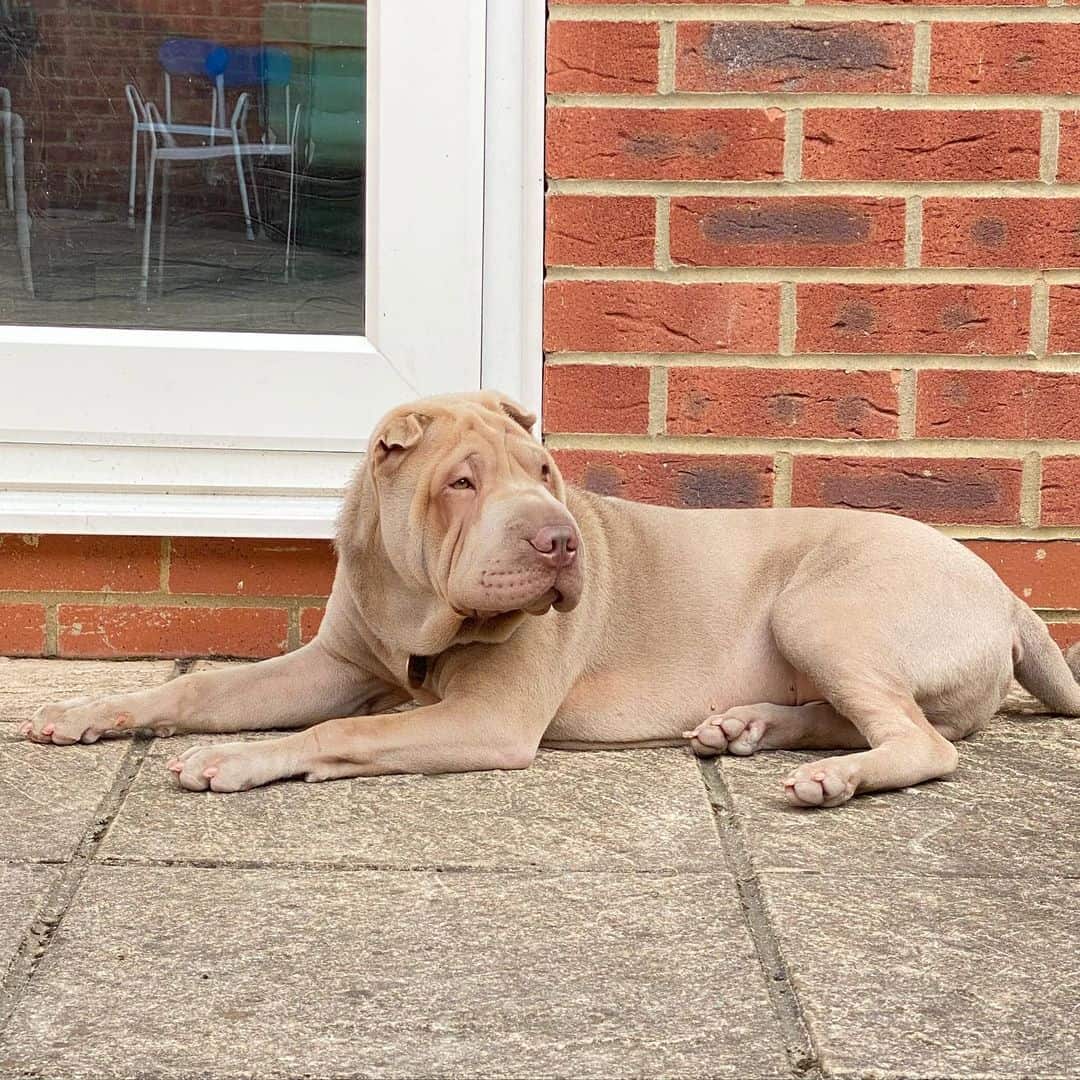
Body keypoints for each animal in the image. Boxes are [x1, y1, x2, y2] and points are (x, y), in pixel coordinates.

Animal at [21, 393, 1080, 807]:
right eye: (461, 483)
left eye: (544, 473)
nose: (559, 539)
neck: (417, 613)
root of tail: (1006, 593)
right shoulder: (331, 662)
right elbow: (196, 689)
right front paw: (89, 712)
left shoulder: (485, 718)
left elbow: (340, 732)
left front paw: (239, 762)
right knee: (863, 716)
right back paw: (745, 728)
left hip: (822, 608)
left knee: (920, 741)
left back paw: (831, 778)